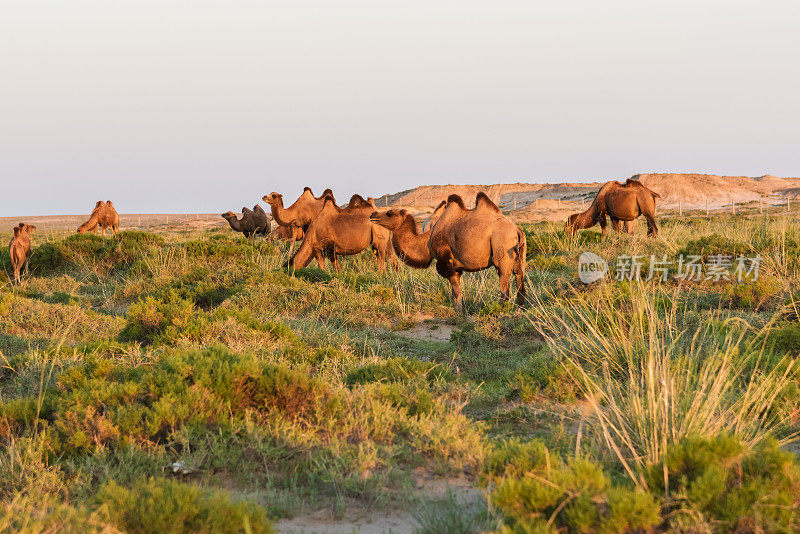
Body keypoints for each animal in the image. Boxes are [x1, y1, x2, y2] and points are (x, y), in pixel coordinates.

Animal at [372, 194, 528, 310]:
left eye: (389, 213)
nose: (373, 214)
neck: (427, 240)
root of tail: (517, 230)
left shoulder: (446, 260)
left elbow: (456, 290)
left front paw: (459, 311)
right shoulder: (456, 265)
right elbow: (455, 290)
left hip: (502, 250)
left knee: (504, 285)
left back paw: (499, 310)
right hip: (520, 256)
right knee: (519, 277)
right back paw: (520, 310)